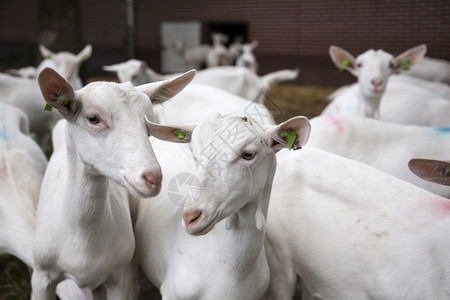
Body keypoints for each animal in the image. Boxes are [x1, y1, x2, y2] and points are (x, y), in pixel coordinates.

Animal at [30, 67, 194, 298]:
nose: (153, 178)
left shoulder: (120, 276)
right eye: (93, 118)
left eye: (149, 121)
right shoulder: (42, 275)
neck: (82, 240)